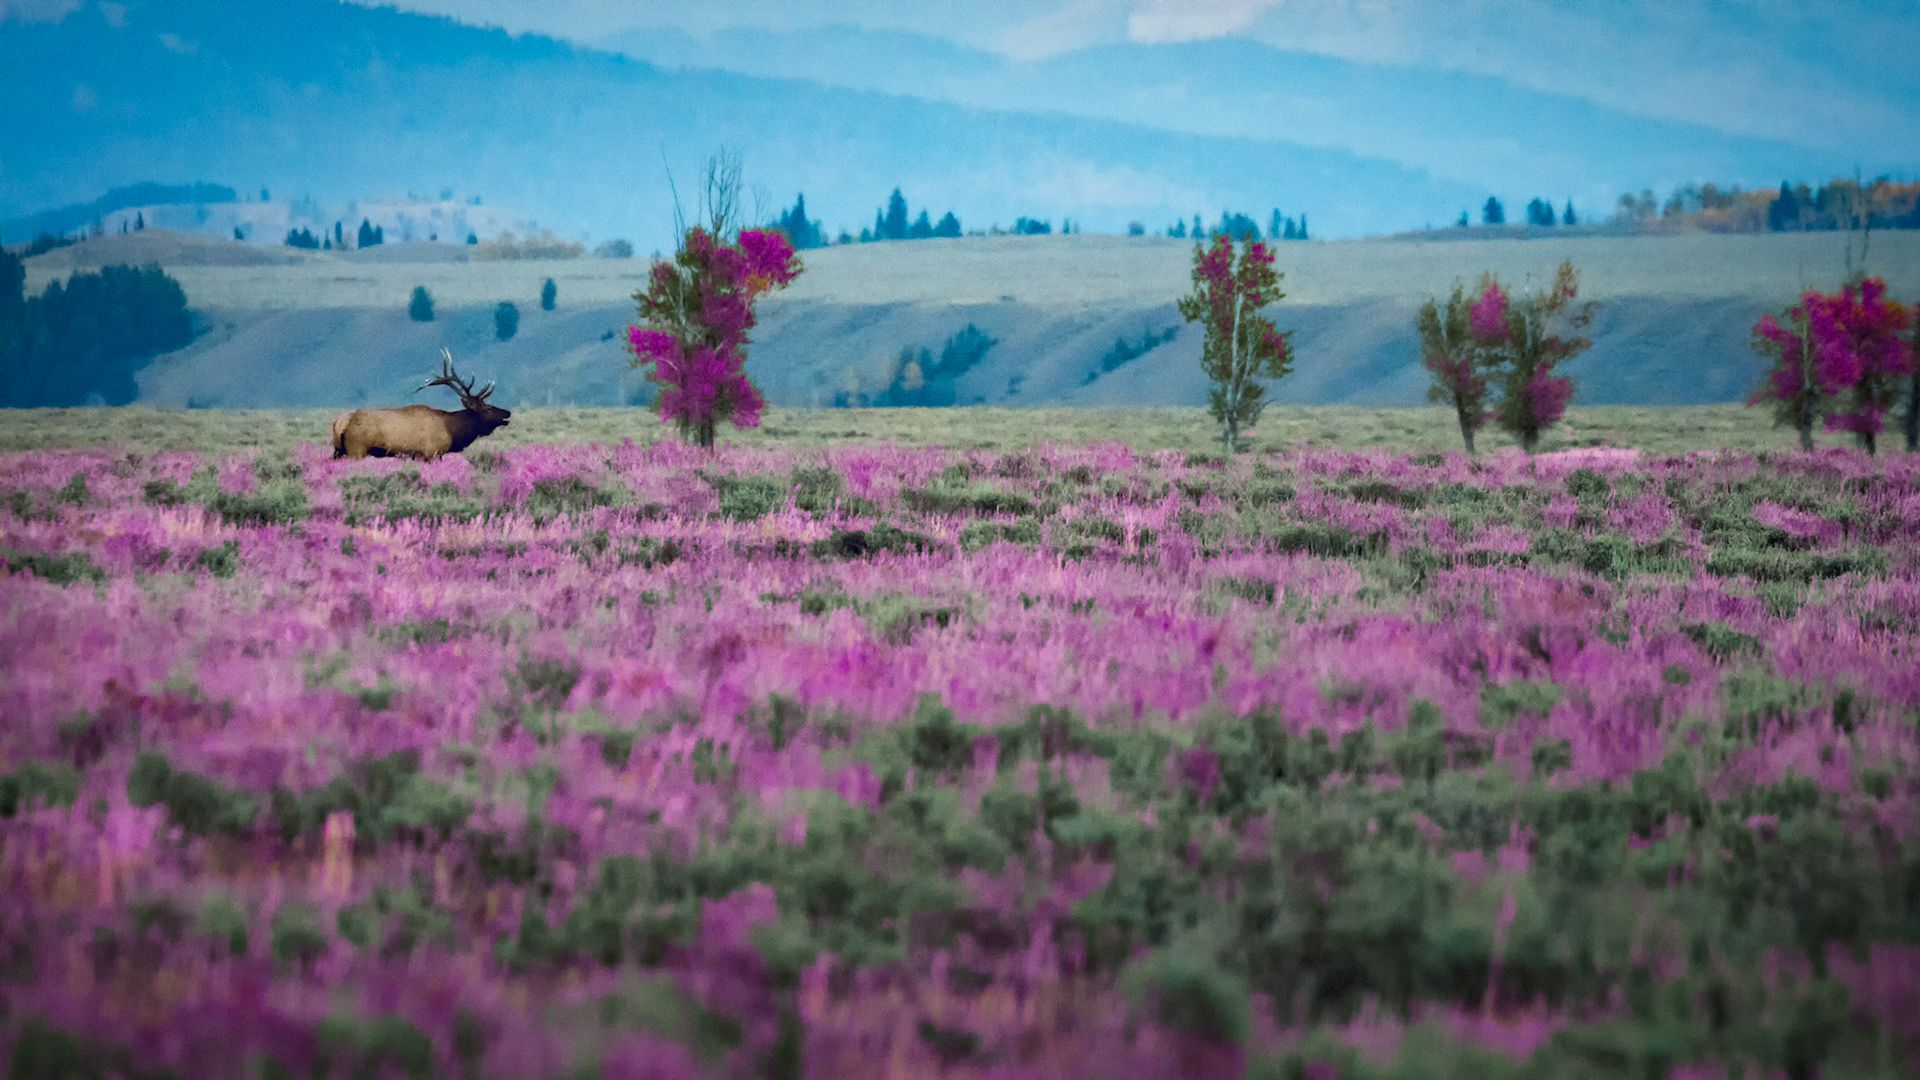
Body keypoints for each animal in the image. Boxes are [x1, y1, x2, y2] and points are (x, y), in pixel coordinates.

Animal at [331, 349, 511, 460]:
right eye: (488, 408)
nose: (507, 413)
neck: (452, 431)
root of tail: (341, 423)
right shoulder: (432, 452)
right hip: (356, 449)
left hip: (338, 450)